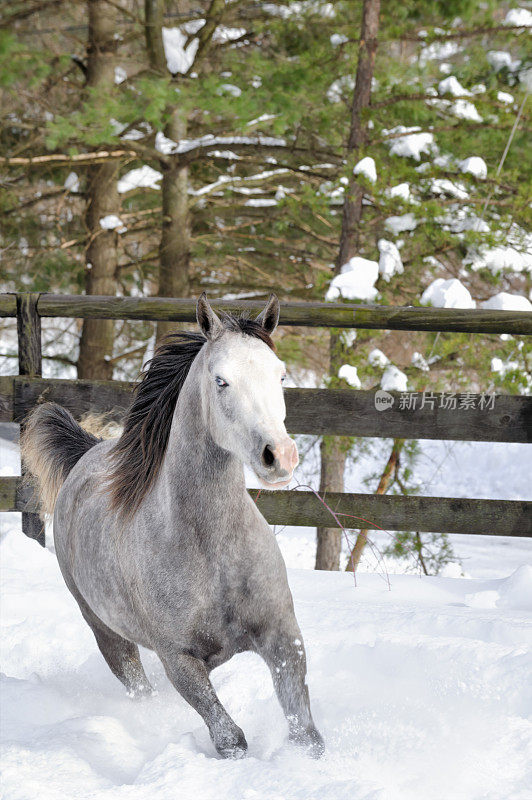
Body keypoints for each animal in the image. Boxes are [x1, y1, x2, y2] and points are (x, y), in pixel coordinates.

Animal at [21, 296, 324, 760]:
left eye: (281, 374)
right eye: (221, 381)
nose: (280, 456)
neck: (212, 552)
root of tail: (86, 455)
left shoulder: (283, 639)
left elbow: (307, 733)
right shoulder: (179, 659)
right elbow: (230, 739)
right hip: (107, 634)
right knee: (138, 687)